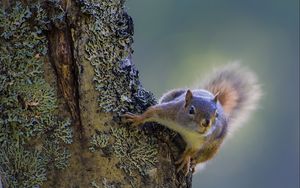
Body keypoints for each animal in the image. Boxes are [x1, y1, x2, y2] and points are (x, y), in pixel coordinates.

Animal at [123, 63, 262, 175]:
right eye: (191, 110)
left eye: (216, 114)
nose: (206, 123)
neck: (187, 130)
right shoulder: (170, 111)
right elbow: (153, 111)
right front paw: (137, 118)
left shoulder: (201, 141)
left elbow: (192, 150)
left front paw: (186, 159)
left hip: (212, 148)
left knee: (202, 157)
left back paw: (193, 162)